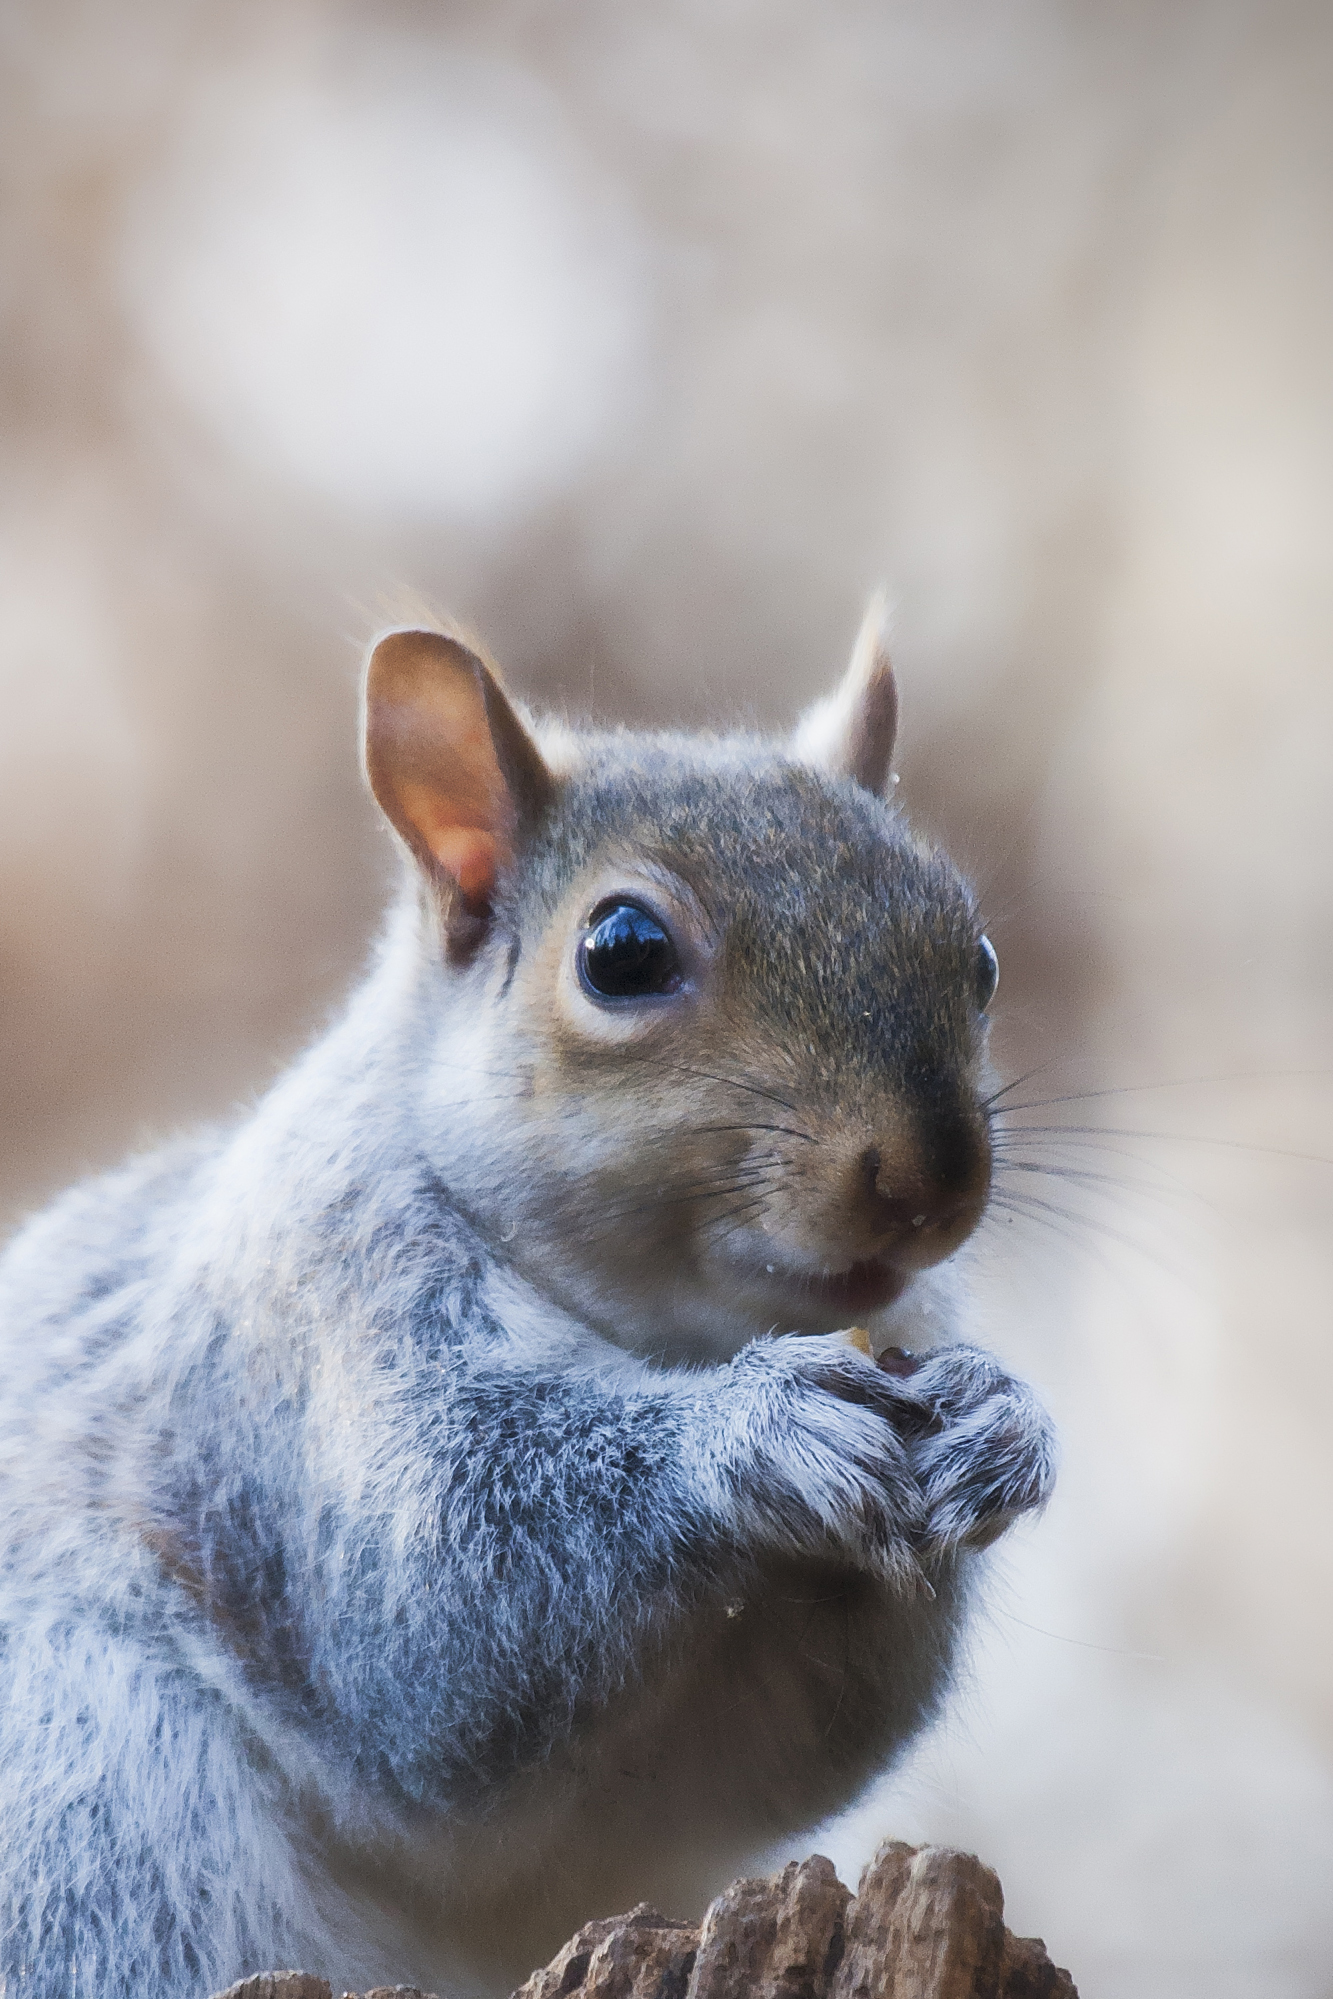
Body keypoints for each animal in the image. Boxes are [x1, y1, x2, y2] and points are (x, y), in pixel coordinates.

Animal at [0, 603, 1056, 1997]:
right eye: (624, 953)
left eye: (976, 955)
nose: (932, 1181)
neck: (664, 1327)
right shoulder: (303, 1355)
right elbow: (431, 1617)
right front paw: (754, 1431)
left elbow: (795, 1741)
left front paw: (1001, 1419)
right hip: (87, 1797)